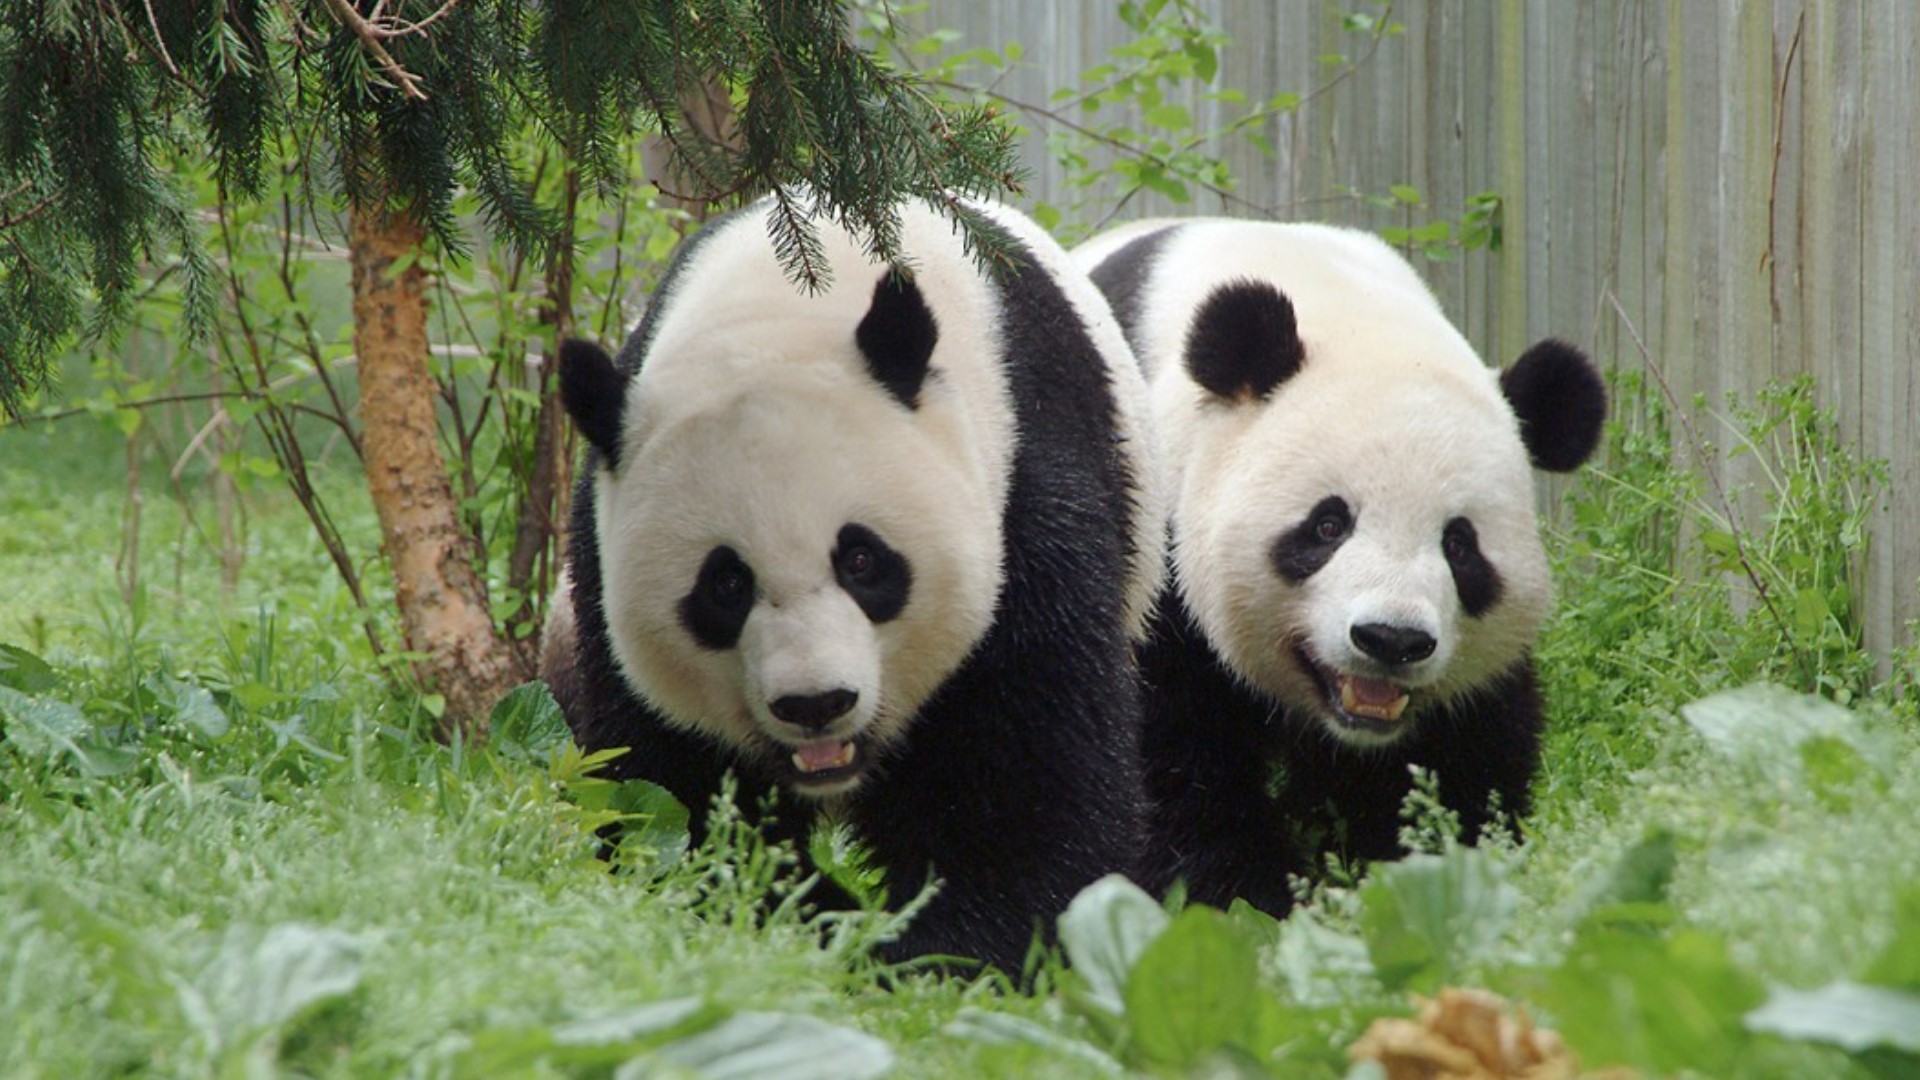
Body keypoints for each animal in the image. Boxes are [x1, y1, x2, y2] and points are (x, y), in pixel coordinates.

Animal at [545, 191, 1167, 968]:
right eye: (725, 585)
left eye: (863, 561)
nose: (815, 703)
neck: (791, 294)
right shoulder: (600, 551)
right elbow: (673, 787)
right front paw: (794, 921)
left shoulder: (1025, 480)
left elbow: (1025, 772)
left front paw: (947, 950)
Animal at [1082, 214, 1605, 910]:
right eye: (1328, 525)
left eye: (1460, 546)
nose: (1391, 640)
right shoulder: (1155, 556)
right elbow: (1170, 756)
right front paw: (1250, 896)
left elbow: (1463, 761)